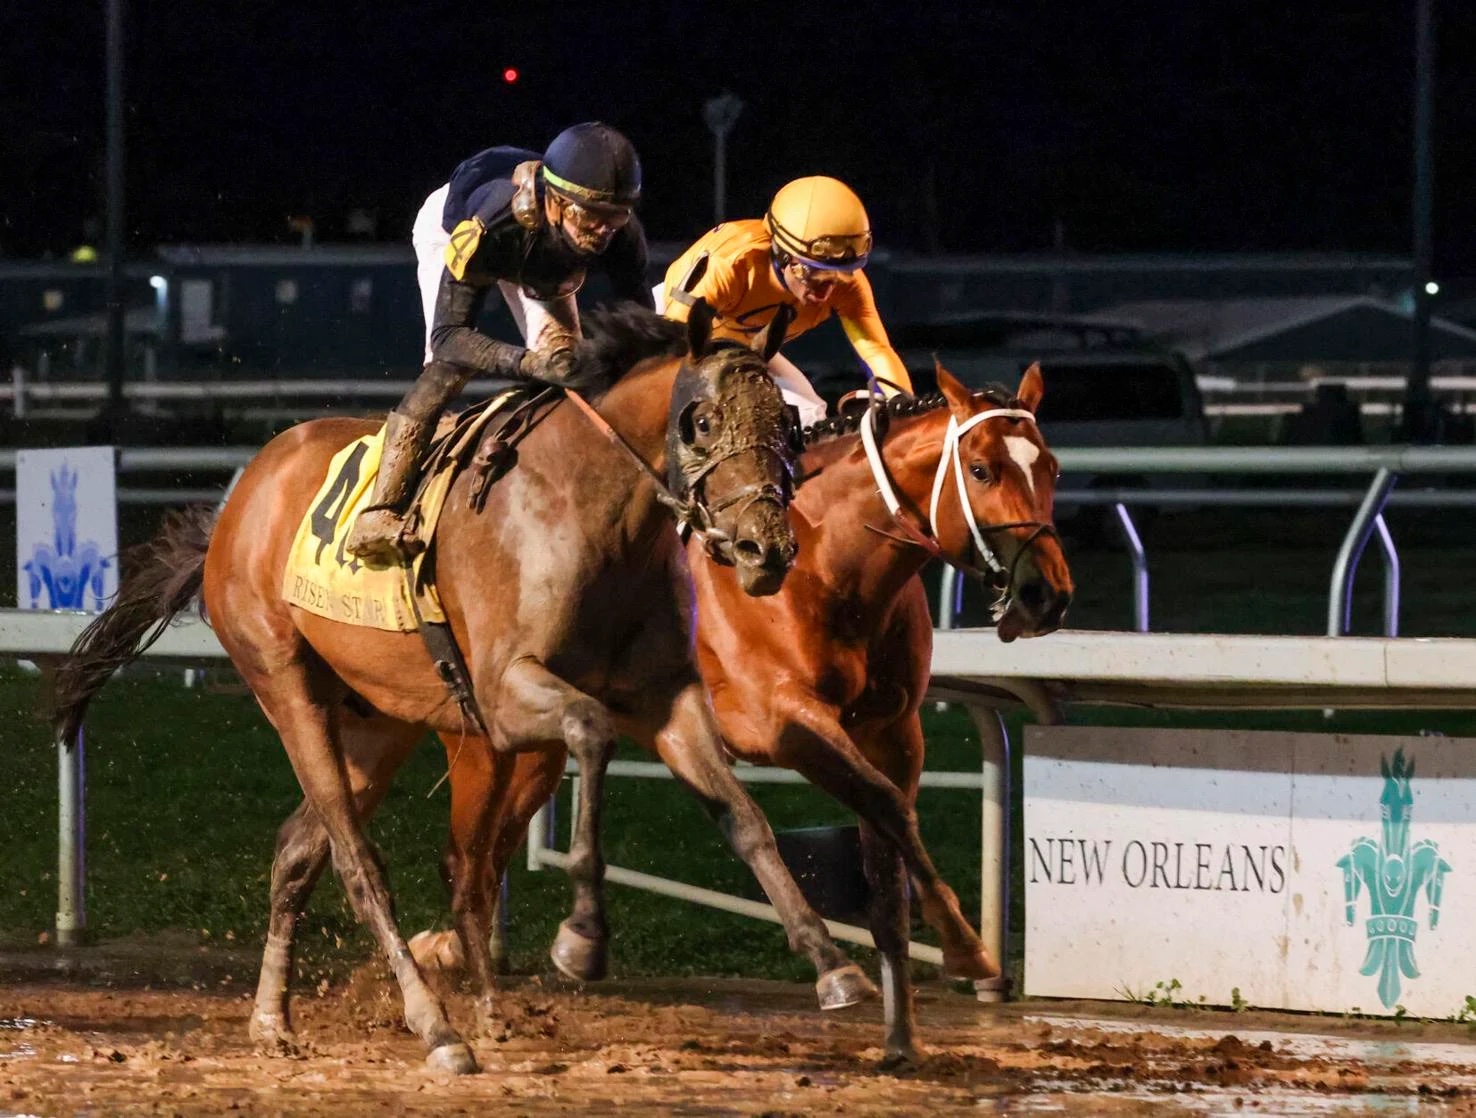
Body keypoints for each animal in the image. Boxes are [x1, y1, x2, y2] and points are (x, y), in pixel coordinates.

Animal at [46, 302, 873, 1075]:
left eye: (788, 425)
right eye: (700, 421)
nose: (766, 550)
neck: (589, 507)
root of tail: (238, 500)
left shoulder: (667, 699)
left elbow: (744, 818)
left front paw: (834, 965)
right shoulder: (506, 699)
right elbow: (593, 732)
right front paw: (581, 937)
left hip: (377, 722)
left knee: (301, 851)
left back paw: (279, 1019)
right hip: (285, 684)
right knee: (358, 864)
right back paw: (437, 1028)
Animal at [416, 361, 1074, 1069]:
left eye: (1052, 467)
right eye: (981, 470)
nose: (1047, 595)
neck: (829, 561)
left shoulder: (893, 733)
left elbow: (887, 855)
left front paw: (901, 1038)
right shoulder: (783, 723)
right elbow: (888, 807)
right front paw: (964, 947)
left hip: (536, 752)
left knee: (484, 854)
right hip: (498, 737)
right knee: (470, 858)